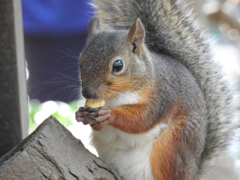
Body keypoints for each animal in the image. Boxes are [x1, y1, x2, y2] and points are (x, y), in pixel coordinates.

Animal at [75, 0, 238, 180]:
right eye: (80, 61)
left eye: (118, 65)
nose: (88, 93)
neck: (116, 96)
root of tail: (193, 172)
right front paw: (80, 114)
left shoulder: (161, 96)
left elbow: (142, 119)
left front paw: (110, 114)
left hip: (171, 146)